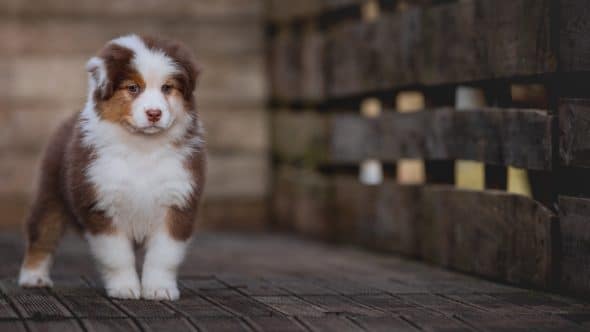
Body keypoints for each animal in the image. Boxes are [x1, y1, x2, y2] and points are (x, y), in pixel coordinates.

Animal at [17, 35, 206, 302]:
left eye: (167, 88)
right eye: (133, 88)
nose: (154, 113)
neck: (142, 147)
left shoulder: (177, 202)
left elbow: (163, 256)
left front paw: (159, 289)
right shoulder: (102, 203)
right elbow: (118, 256)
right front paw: (125, 288)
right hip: (50, 194)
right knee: (42, 234)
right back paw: (34, 277)